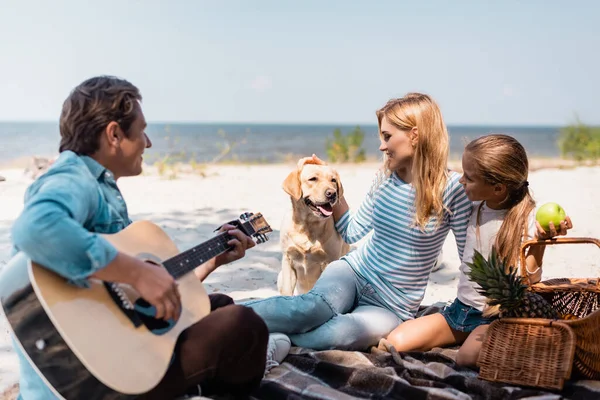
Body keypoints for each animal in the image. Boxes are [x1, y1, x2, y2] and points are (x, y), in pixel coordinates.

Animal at [278, 158, 352, 296]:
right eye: (313, 179)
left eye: (333, 180)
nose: (332, 194)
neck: (307, 226)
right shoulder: (287, 260)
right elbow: (286, 291)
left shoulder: (329, 261)